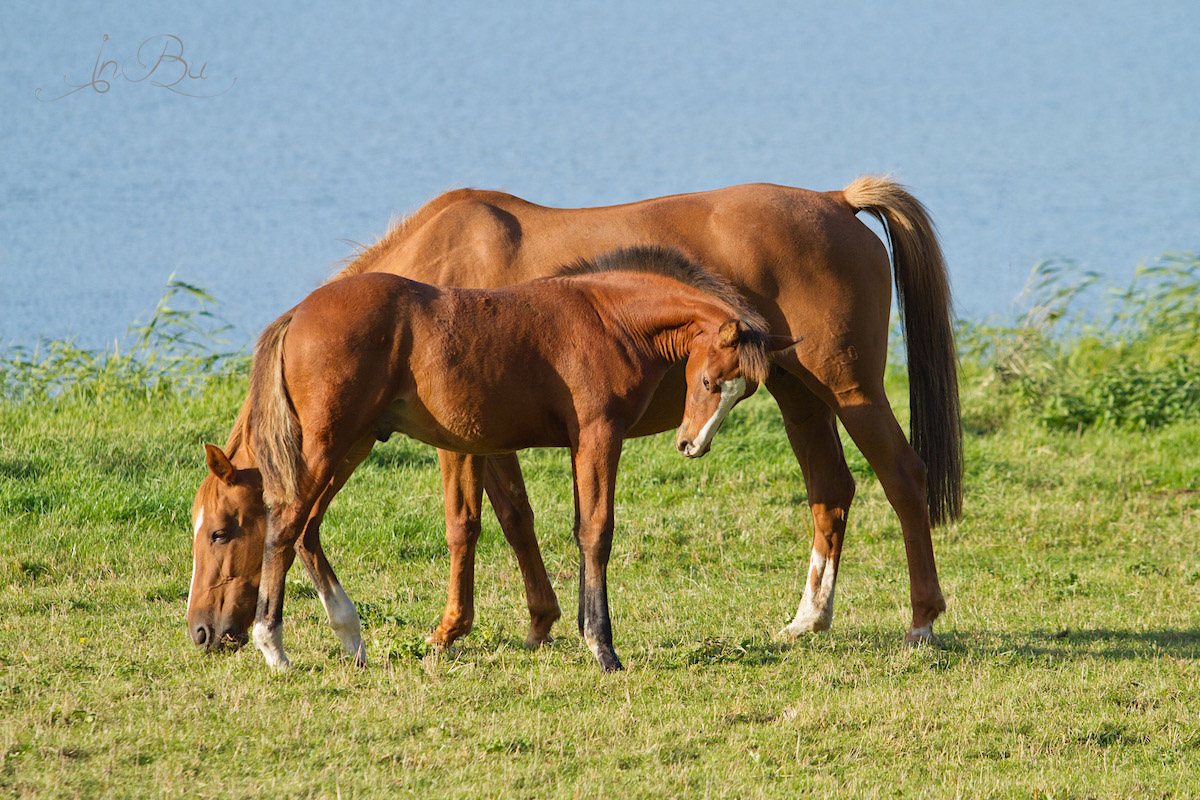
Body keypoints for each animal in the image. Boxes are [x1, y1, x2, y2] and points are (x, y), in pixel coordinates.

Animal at [331, 175, 964, 642]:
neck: (428, 291)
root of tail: (836, 201)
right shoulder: (493, 436)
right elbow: (516, 518)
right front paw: (540, 623)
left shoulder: (467, 438)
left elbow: (474, 524)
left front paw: (458, 629)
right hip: (798, 393)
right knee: (831, 491)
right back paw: (808, 620)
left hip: (852, 392)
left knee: (904, 479)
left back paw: (921, 621)